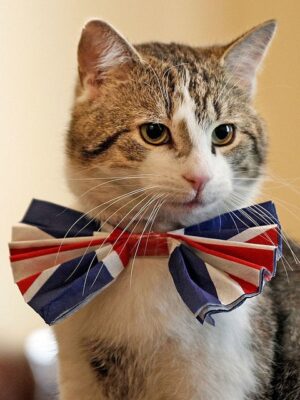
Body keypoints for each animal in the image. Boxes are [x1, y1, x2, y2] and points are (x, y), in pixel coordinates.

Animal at [54, 17, 300, 398]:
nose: (199, 177)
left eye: (224, 133)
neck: (155, 252)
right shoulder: (79, 377)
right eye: (154, 132)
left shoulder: (218, 380)